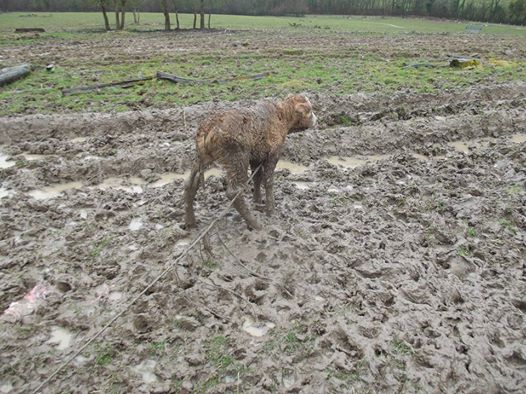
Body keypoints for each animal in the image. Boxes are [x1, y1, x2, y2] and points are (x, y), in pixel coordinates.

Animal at [186, 95, 318, 229]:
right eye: (310, 109)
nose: (316, 120)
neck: (282, 117)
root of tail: (207, 128)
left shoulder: (256, 157)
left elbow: (257, 178)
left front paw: (257, 203)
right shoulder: (273, 153)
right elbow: (268, 181)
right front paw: (271, 211)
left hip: (203, 157)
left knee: (190, 183)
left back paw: (190, 222)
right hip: (237, 157)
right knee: (233, 192)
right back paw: (255, 224)